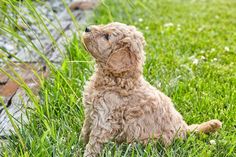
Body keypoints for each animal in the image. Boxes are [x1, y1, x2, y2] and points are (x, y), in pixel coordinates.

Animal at [81, 22, 221, 157]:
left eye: (107, 36)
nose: (87, 28)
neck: (117, 80)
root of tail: (184, 128)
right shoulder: (90, 112)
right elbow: (85, 130)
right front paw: (79, 143)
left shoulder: (105, 119)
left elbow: (94, 142)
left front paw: (87, 153)